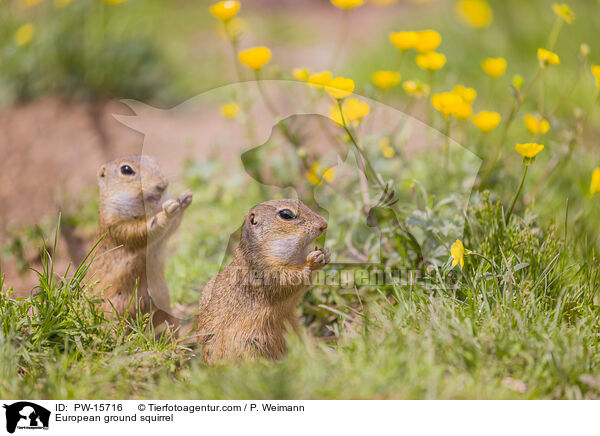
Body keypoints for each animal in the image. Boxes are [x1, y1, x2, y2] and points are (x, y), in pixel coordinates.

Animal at [91, 155, 192, 326]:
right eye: (126, 169)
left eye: (154, 160)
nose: (163, 185)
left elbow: (171, 228)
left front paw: (185, 198)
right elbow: (144, 230)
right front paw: (169, 210)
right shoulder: (118, 226)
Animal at [196, 199, 328, 362]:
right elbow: (291, 280)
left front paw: (325, 253)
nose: (324, 224)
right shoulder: (269, 273)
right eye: (286, 214)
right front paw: (314, 259)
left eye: (301, 202)